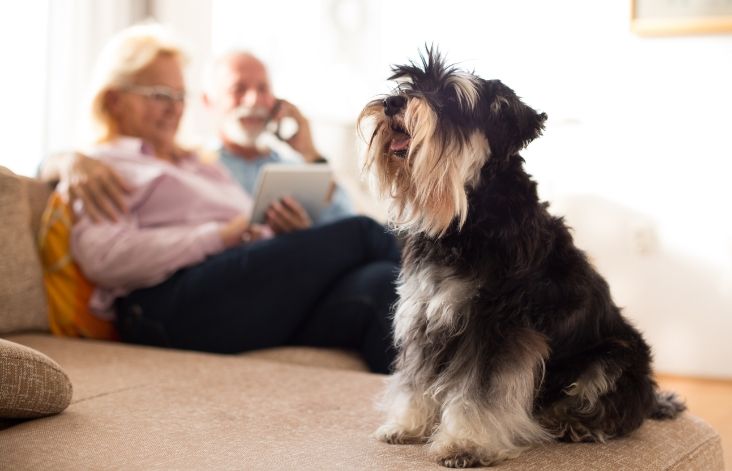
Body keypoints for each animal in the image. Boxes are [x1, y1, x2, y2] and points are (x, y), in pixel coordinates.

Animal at [358, 49, 684, 470]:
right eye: (409, 84)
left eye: (451, 98)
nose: (393, 103)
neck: (470, 215)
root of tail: (651, 394)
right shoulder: (424, 315)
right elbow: (415, 378)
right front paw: (407, 425)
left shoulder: (495, 327)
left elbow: (480, 393)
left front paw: (466, 443)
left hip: (613, 357)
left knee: (617, 412)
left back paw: (571, 423)